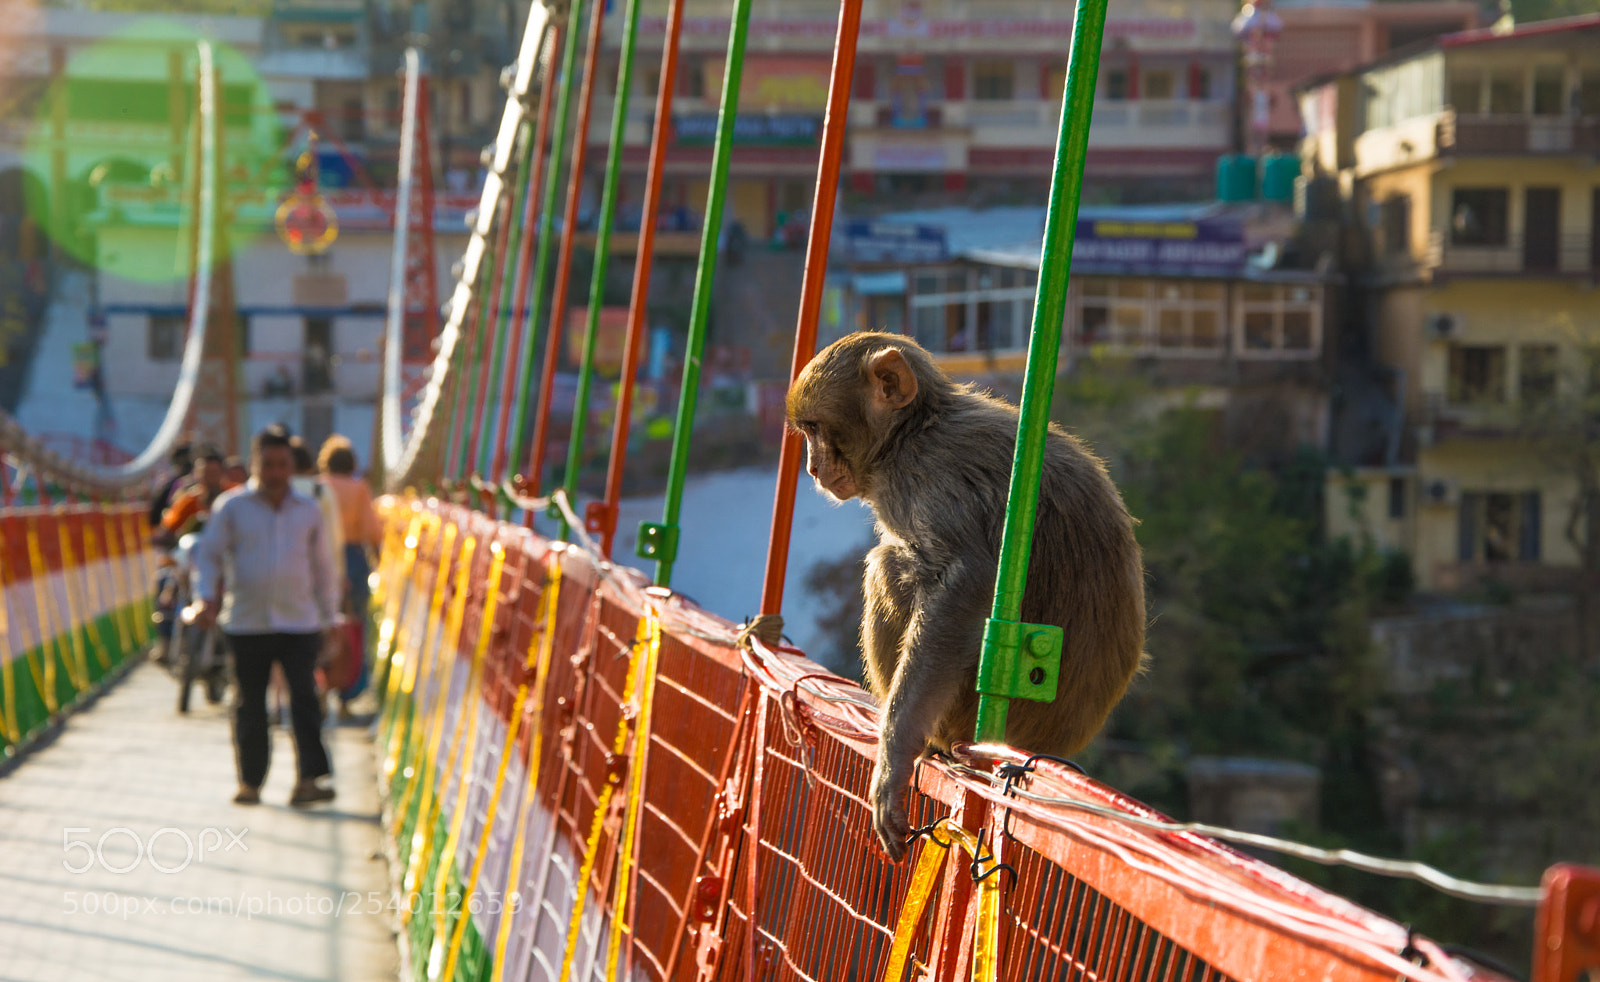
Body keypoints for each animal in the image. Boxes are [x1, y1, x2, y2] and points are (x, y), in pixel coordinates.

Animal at [786, 331, 1146, 860]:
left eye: (815, 428)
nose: (813, 468)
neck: (914, 432)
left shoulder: (928, 478)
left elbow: (965, 581)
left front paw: (895, 756)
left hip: (960, 711)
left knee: (889, 566)